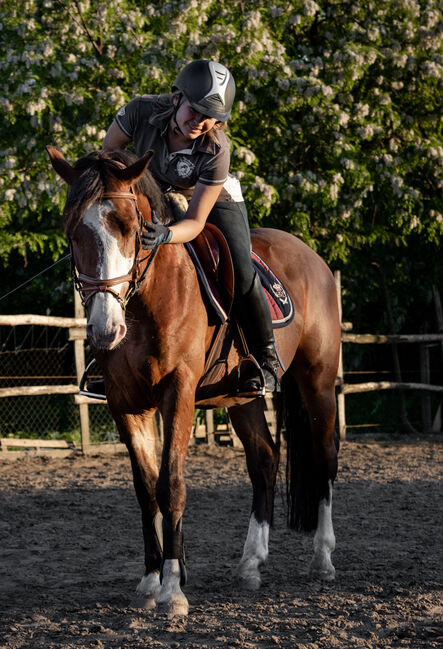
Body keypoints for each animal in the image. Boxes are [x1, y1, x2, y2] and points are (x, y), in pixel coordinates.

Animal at [46, 144, 342, 616]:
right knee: (264, 459)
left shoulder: (178, 391)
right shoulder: (125, 402)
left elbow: (171, 485)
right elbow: (146, 489)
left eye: (131, 228)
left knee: (324, 456)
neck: (146, 300)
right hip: (241, 396)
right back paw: (251, 564)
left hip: (318, 382)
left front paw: (172, 589)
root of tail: (311, 255)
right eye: (73, 231)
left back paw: (322, 559)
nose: (105, 330)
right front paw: (151, 580)